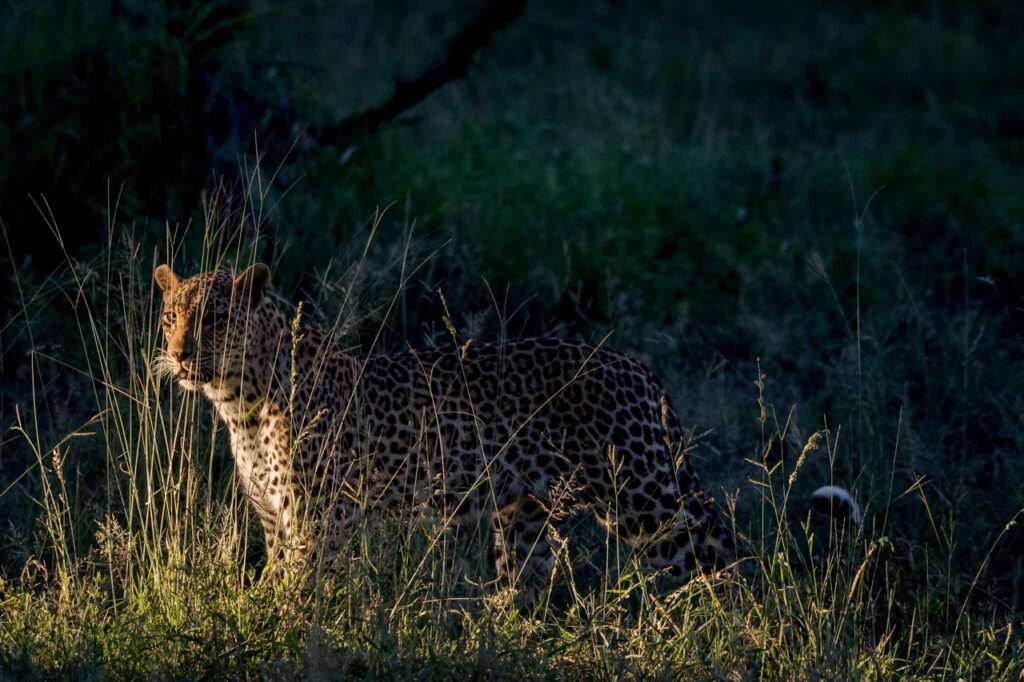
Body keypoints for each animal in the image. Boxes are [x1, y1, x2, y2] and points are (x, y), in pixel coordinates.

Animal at [154, 262, 736, 606]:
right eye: (171, 317)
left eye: (215, 319)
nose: (179, 355)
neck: (240, 402)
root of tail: (636, 367)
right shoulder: (274, 517)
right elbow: (276, 581)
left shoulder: (317, 518)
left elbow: (299, 590)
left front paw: (284, 635)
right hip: (526, 514)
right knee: (527, 588)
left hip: (643, 500)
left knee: (715, 553)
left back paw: (727, 629)